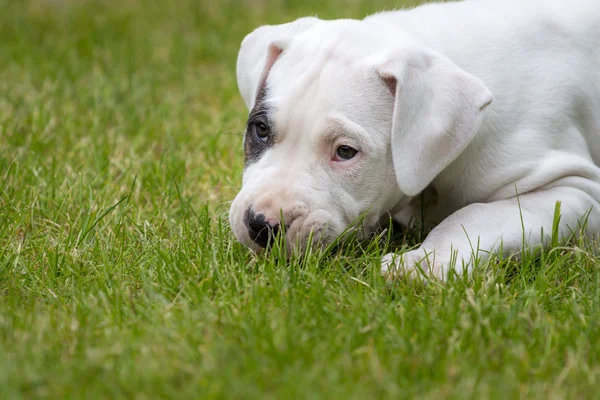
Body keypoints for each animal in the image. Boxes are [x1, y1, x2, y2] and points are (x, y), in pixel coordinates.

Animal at [229, 0, 600, 280]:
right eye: (261, 130)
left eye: (345, 151)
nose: (261, 225)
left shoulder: (574, 190)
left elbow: (475, 216)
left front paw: (419, 263)